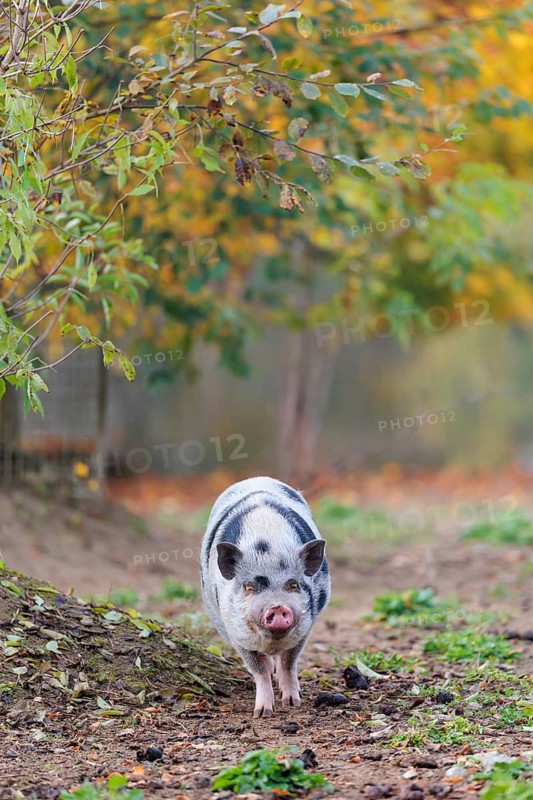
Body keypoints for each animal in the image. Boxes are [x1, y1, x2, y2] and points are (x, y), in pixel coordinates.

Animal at [200, 476, 331, 717]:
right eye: (249, 587)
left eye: (293, 584)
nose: (277, 607)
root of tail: (255, 478)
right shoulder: (237, 633)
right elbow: (258, 669)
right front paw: (262, 713)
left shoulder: (305, 627)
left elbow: (289, 662)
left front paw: (292, 703)